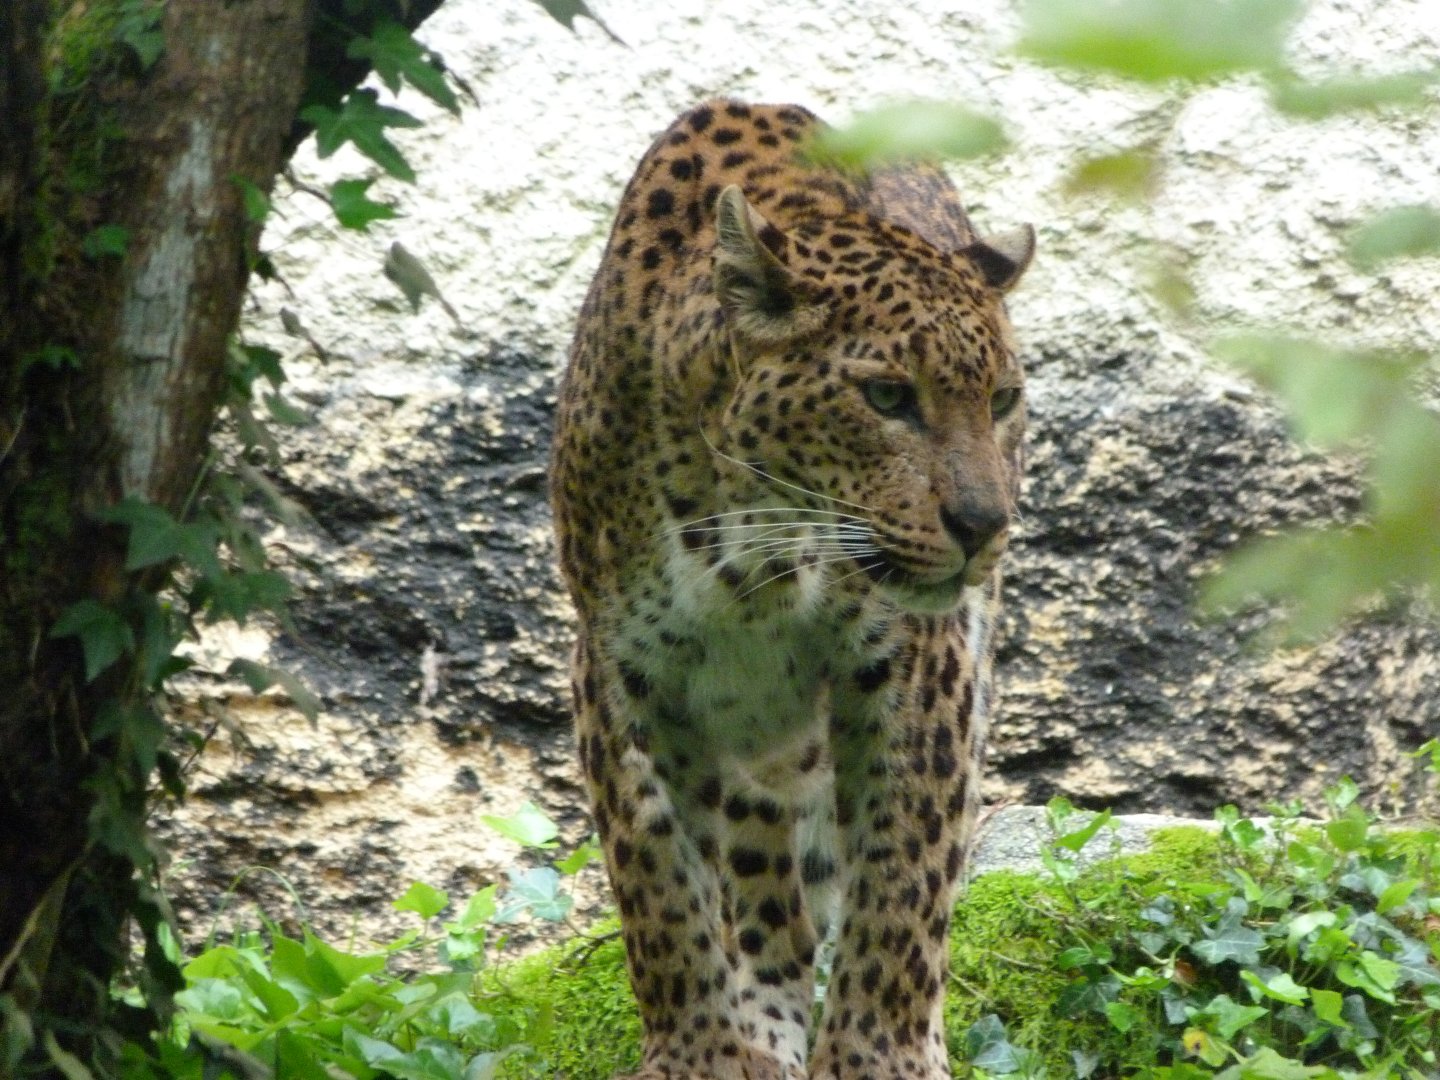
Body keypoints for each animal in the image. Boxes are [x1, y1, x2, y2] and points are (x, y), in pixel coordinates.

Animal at [549, 99, 1034, 1080]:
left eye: (1001, 400)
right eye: (887, 397)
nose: (982, 524)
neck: (756, 549)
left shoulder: (919, 666)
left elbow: (903, 880)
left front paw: (881, 1058)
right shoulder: (620, 670)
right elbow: (657, 873)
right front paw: (701, 1053)